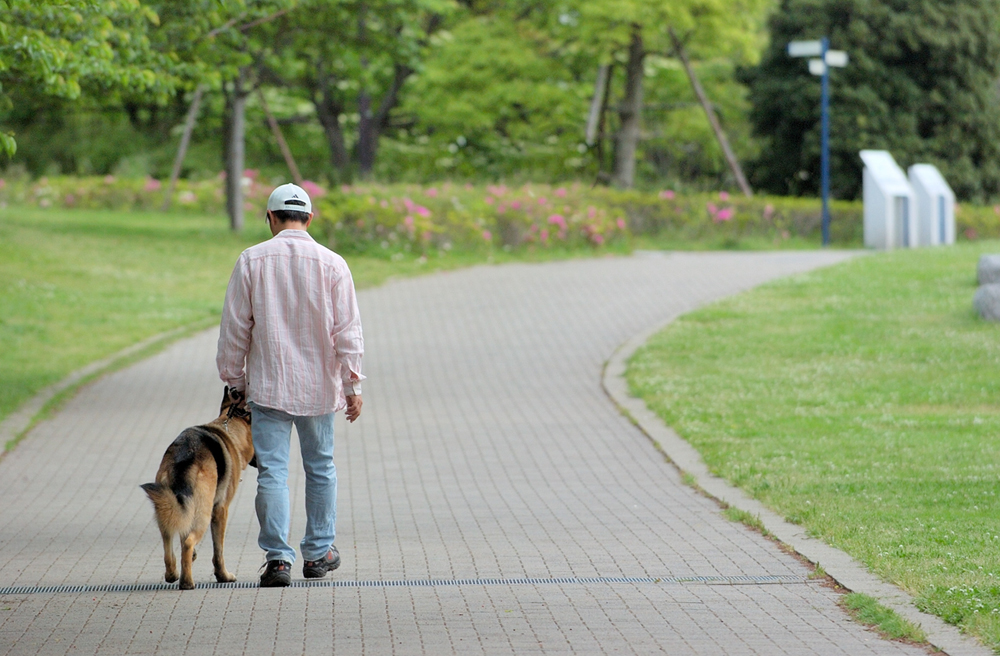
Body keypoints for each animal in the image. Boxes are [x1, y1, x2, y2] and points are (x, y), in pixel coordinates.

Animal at [143, 384, 256, 588]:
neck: (229, 427)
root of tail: (184, 456)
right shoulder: (220, 510)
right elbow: (218, 551)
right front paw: (223, 575)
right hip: (204, 513)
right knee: (188, 542)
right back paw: (187, 582)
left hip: (167, 505)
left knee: (168, 537)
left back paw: (172, 573)